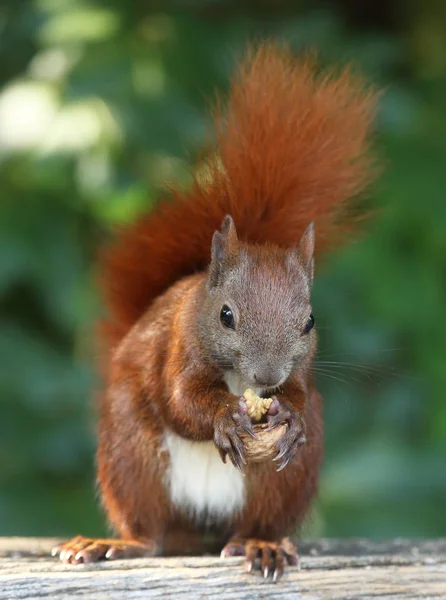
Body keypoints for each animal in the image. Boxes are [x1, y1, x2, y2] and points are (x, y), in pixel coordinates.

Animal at [54, 43, 378, 580]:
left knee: (257, 522)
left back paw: (261, 546)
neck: (239, 381)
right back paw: (115, 544)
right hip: (131, 458)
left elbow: (298, 393)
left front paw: (288, 413)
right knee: (150, 532)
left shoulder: (301, 373)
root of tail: (202, 528)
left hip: (284, 484)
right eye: (226, 316)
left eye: (309, 322)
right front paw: (224, 417)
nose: (267, 376)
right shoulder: (177, 349)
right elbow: (181, 402)